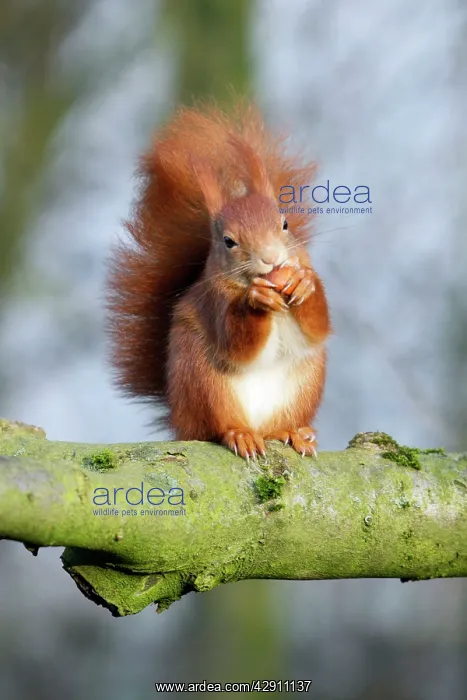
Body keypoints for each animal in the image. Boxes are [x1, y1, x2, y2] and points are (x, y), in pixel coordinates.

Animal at [107, 102, 331, 460]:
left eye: (284, 224)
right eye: (228, 241)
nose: (271, 257)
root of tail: (180, 422)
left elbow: (318, 325)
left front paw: (302, 282)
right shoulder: (214, 303)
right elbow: (237, 343)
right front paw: (257, 300)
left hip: (305, 384)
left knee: (280, 425)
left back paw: (293, 432)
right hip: (205, 382)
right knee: (217, 426)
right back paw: (240, 434)